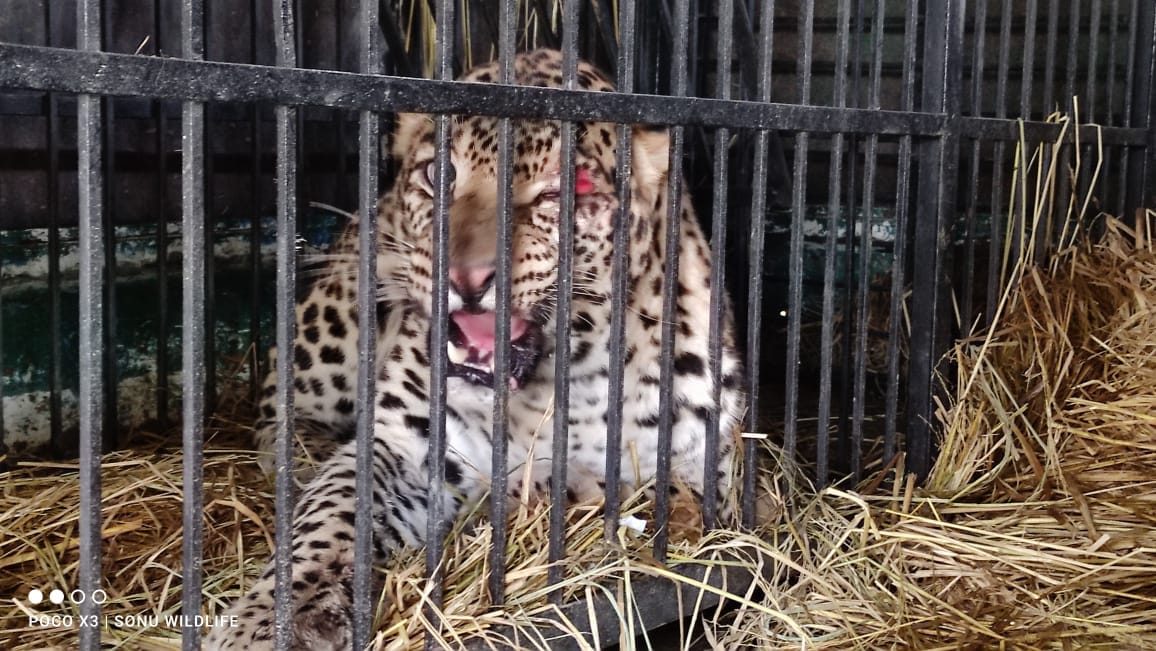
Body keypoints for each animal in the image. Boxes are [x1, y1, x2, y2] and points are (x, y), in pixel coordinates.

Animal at [207, 48, 746, 650]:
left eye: (565, 192)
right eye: (439, 175)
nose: (465, 278)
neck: (563, 379)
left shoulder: (704, 466)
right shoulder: (405, 442)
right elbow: (333, 513)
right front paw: (270, 623)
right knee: (280, 407)